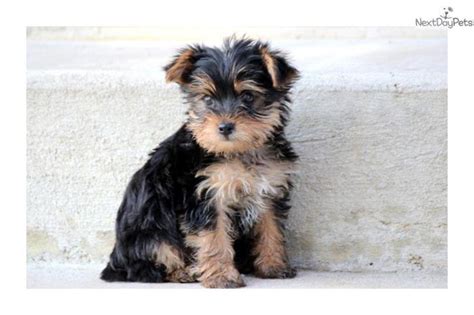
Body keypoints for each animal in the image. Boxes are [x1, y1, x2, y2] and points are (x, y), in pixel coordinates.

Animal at [100, 37, 300, 288]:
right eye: (207, 99)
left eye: (247, 96)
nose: (224, 127)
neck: (239, 151)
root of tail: (115, 261)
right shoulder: (205, 195)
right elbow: (214, 237)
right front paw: (222, 276)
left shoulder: (270, 188)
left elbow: (271, 229)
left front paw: (274, 266)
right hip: (149, 228)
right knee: (149, 262)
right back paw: (183, 272)